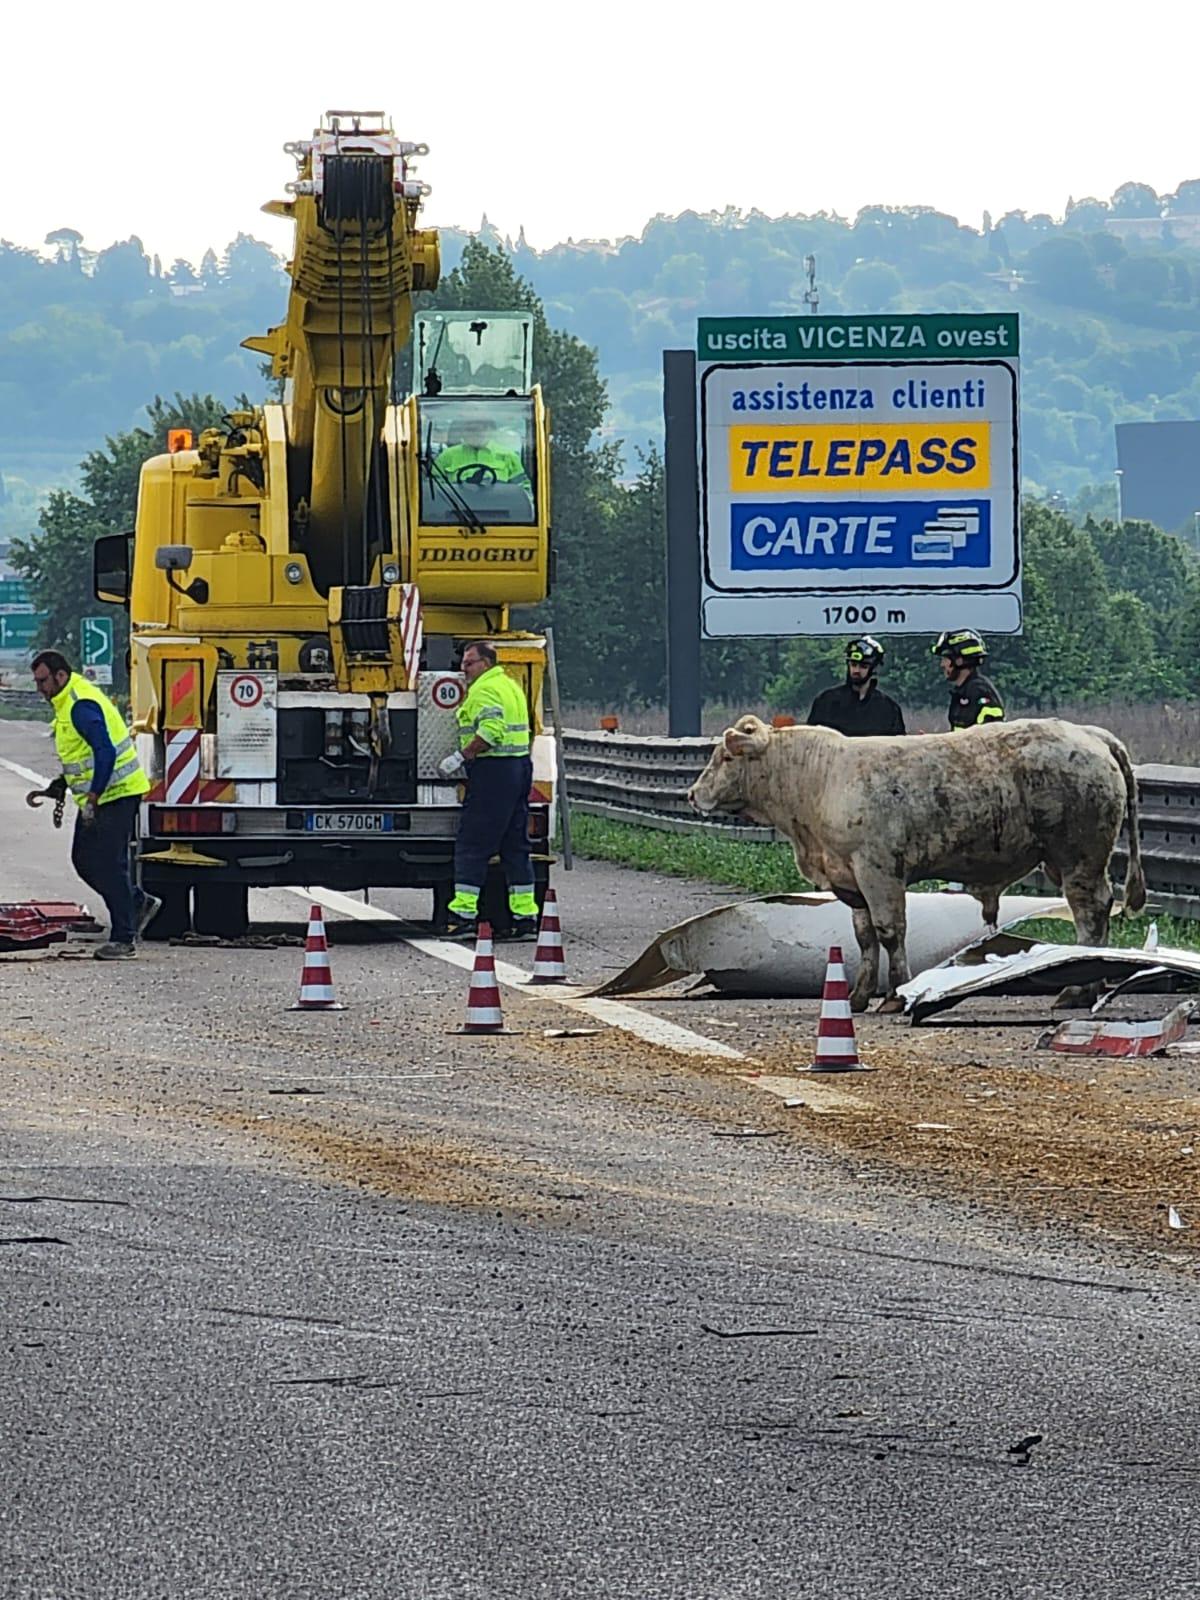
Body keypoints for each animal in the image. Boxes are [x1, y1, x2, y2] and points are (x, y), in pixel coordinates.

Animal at [684, 716, 1145, 1011]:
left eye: (726, 758)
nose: (691, 794)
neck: (818, 780)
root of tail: (1089, 734)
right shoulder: (851, 882)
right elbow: (865, 937)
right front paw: (859, 995)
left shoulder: (879, 872)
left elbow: (890, 932)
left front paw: (896, 992)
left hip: (1079, 857)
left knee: (1090, 914)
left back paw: (1080, 989)